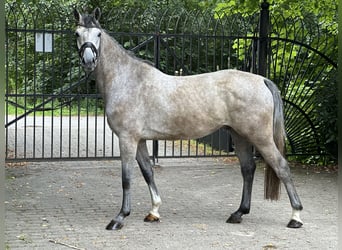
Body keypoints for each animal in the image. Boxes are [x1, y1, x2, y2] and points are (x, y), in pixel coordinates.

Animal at [73, 7, 304, 230]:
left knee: (281, 166)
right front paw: (154, 211)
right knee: (248, 169)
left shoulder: (127, 139)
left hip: (260, 138)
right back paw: (238, 213)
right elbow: (148, 172)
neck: (128, 80)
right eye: (77, 33)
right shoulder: (140, 140)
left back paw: (295, 216)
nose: (89, 60)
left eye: (98, 34)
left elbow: (127, 178)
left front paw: (120, 218)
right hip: (240, 136)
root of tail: (262, 80)